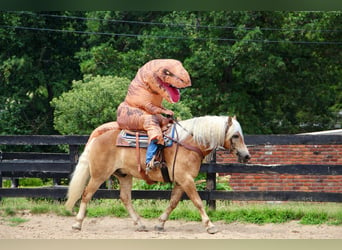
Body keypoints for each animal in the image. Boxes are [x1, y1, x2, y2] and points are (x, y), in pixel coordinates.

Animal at [65, 115, 250, 234]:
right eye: (235, 135)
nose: (246, 156)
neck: (189, 143)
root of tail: (98, 136)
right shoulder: (186, 180)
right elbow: (198, 202)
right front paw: (210, 225)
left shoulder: (180, 181)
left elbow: (173, 203)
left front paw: (160, 224)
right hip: (99, 175)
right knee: (86, 195)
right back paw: (77, 224)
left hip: (124, 176)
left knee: (125, 198)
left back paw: (140, 224)